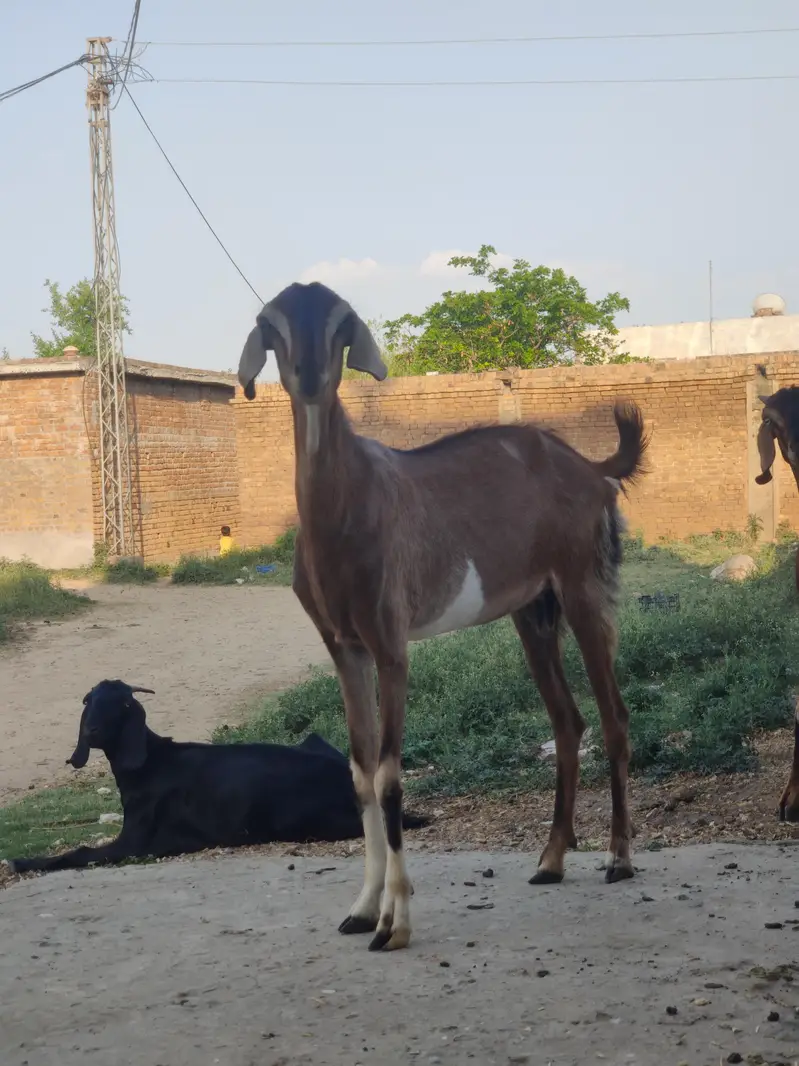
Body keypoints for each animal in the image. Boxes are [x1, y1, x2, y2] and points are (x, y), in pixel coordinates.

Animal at [6, 679, 428, 876]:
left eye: (121, 704)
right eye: (88, 701)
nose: (91, 731)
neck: (151, 762)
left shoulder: (137, 842)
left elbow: (79, 852)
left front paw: (23, 861)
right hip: (315, 740)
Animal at [238, 281, 649, 952]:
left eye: (341, 325)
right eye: (273, 327)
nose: (311, 378)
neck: (345, 508)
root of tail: (590, 468)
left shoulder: (390, 642)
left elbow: (389, 776)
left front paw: (395, 923)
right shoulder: (343, 646)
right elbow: (359, 775)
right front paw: (361, 909)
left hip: (584, 588)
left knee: (614, 716)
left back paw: (618, 858)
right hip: (533, 610)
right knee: (568, 722)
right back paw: (550, 861)